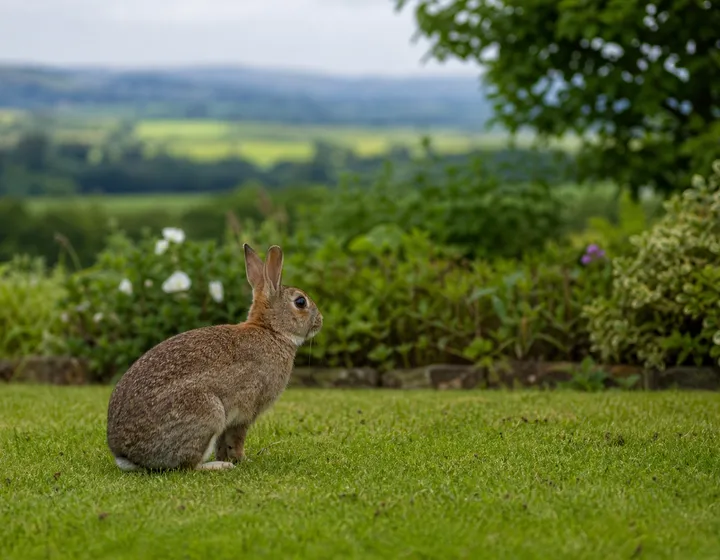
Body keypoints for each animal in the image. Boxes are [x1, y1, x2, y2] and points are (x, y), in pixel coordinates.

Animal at [106, 243, 323, 472]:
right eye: (300, 302)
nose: (321, 321)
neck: (271, 330)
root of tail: (126, 454)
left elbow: (223, 442)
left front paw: (229, 457)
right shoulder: (246, 411)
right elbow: (237, 438)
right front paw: (240, 460)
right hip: (208, 412)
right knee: (188, 466)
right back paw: (218, 466)